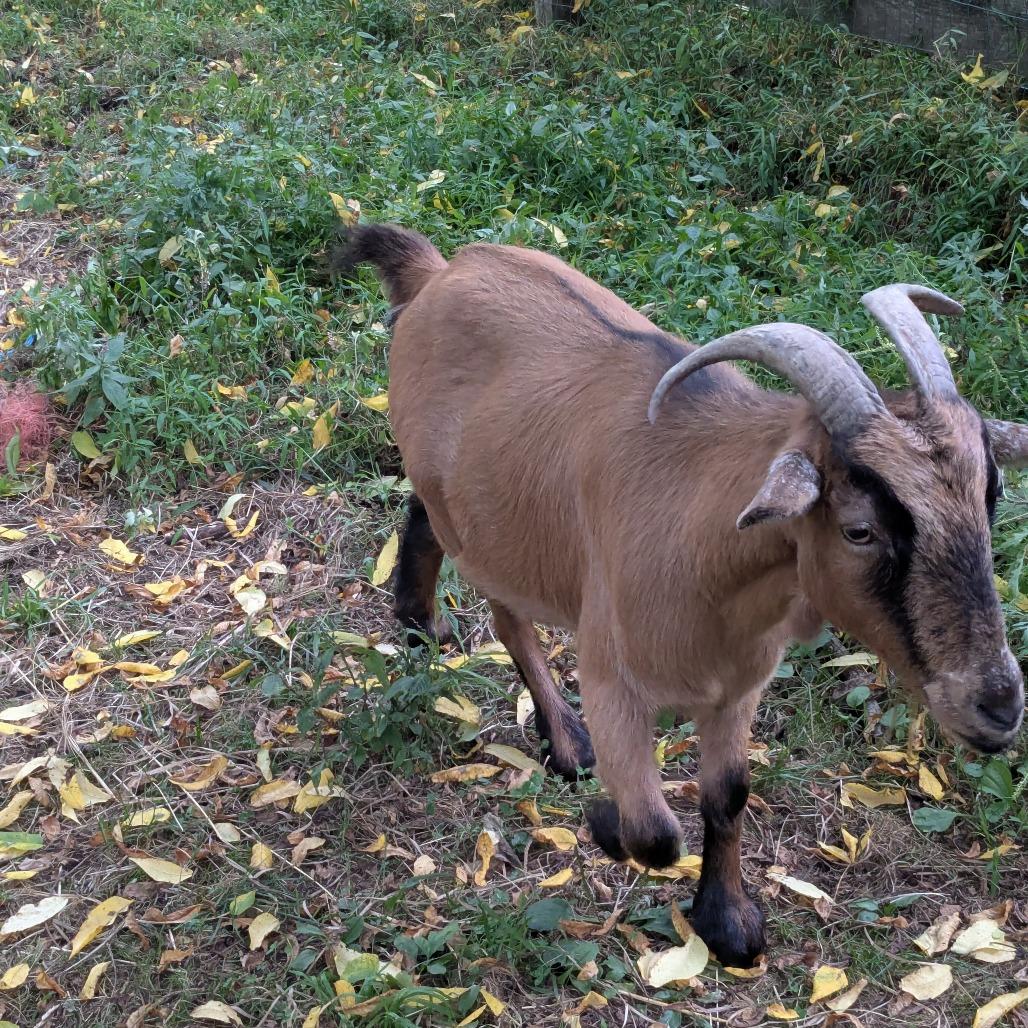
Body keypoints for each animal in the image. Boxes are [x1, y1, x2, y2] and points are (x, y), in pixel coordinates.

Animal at [335, 223, 1028, 967]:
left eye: (990, 498)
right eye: (859, 530)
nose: (998, 706)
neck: (706, 549)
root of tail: (436, 273)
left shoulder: (738, 689)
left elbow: (727, 796)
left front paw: (727, 924)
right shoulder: (611, 679)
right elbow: (653, 831)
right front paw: (604, 819)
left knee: (421, 517)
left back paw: (415, 623)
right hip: (495, 540)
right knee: (507, 617)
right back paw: (564, 740)